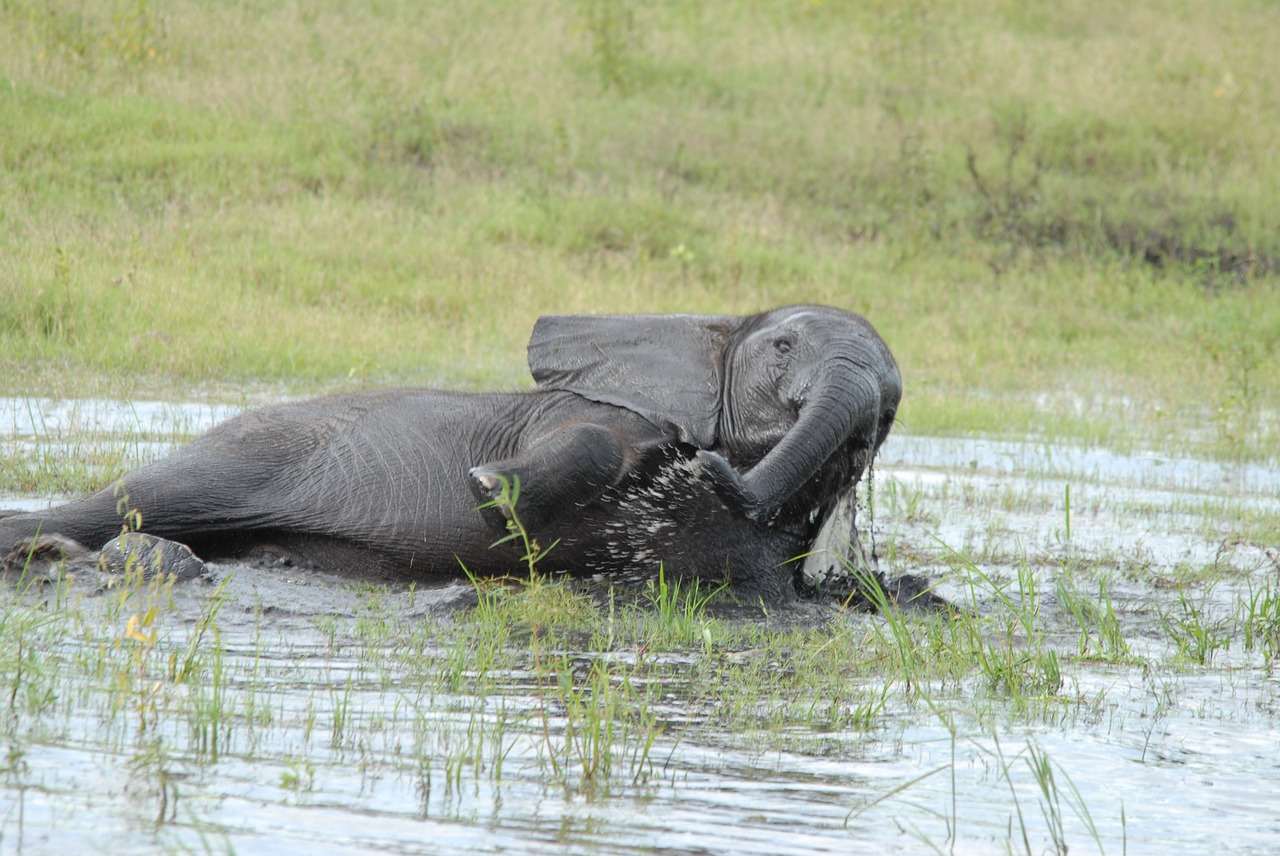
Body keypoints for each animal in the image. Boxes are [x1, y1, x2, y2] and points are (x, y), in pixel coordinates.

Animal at [0, 305, 906, 601]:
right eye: (783, 346)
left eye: (889, 415)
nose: (707, 465)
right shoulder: (585, 405)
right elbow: (585, 441)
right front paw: (490, 485)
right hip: (248, 449)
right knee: (134, 502)